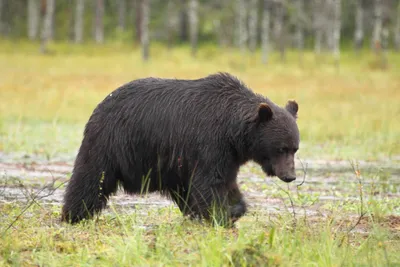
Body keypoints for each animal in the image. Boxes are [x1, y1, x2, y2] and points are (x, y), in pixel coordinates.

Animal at [61, 73, 300, 226]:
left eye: (295, 149)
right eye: (281, 148)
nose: (290, 176)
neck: (233, 132)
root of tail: (101, 104)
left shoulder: (228, 155)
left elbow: (226, 181)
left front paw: (234, 208)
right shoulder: (208, 143)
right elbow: (209, 183)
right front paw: (220, 214)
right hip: (112, 143)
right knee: (91, 178)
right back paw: (73, 215)